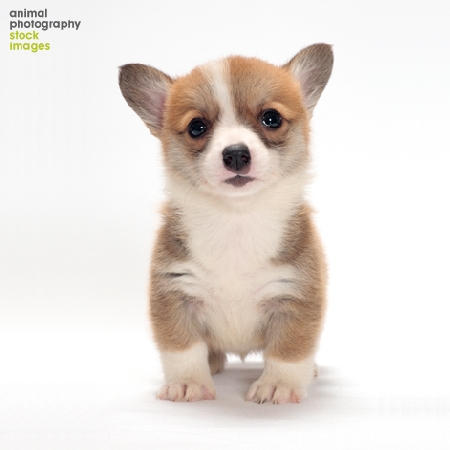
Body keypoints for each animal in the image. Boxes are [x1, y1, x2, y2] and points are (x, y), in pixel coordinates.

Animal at [119, 44, 334, 404]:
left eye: (271, 118)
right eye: (197, 127)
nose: (235, 154)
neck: (236, 219)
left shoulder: (295, 296)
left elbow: (288, 352)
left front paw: (278, 385)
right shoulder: (175, 295)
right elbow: (182, 349)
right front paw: (188, 383)